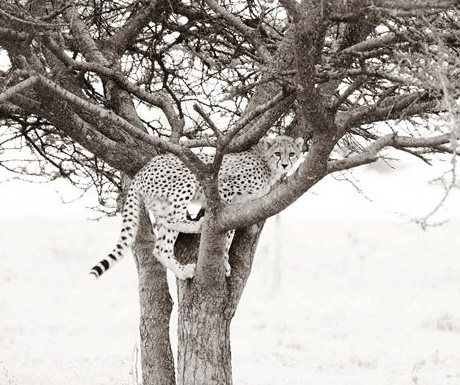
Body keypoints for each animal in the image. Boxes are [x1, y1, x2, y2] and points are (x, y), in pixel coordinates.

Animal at [90, 135, 306, 280]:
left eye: (292, 154)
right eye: (278, 153)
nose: (285, 165)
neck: (265, 163)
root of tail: (143, 169)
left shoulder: (240, 207)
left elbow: (229, 234)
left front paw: (225, 261)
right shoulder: (223, 190)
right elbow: (226, 234)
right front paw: (225, 261)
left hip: (161, 204)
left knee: (161, 246)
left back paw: (182, 270)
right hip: (186, 179)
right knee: (171, 223)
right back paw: (196, 225)